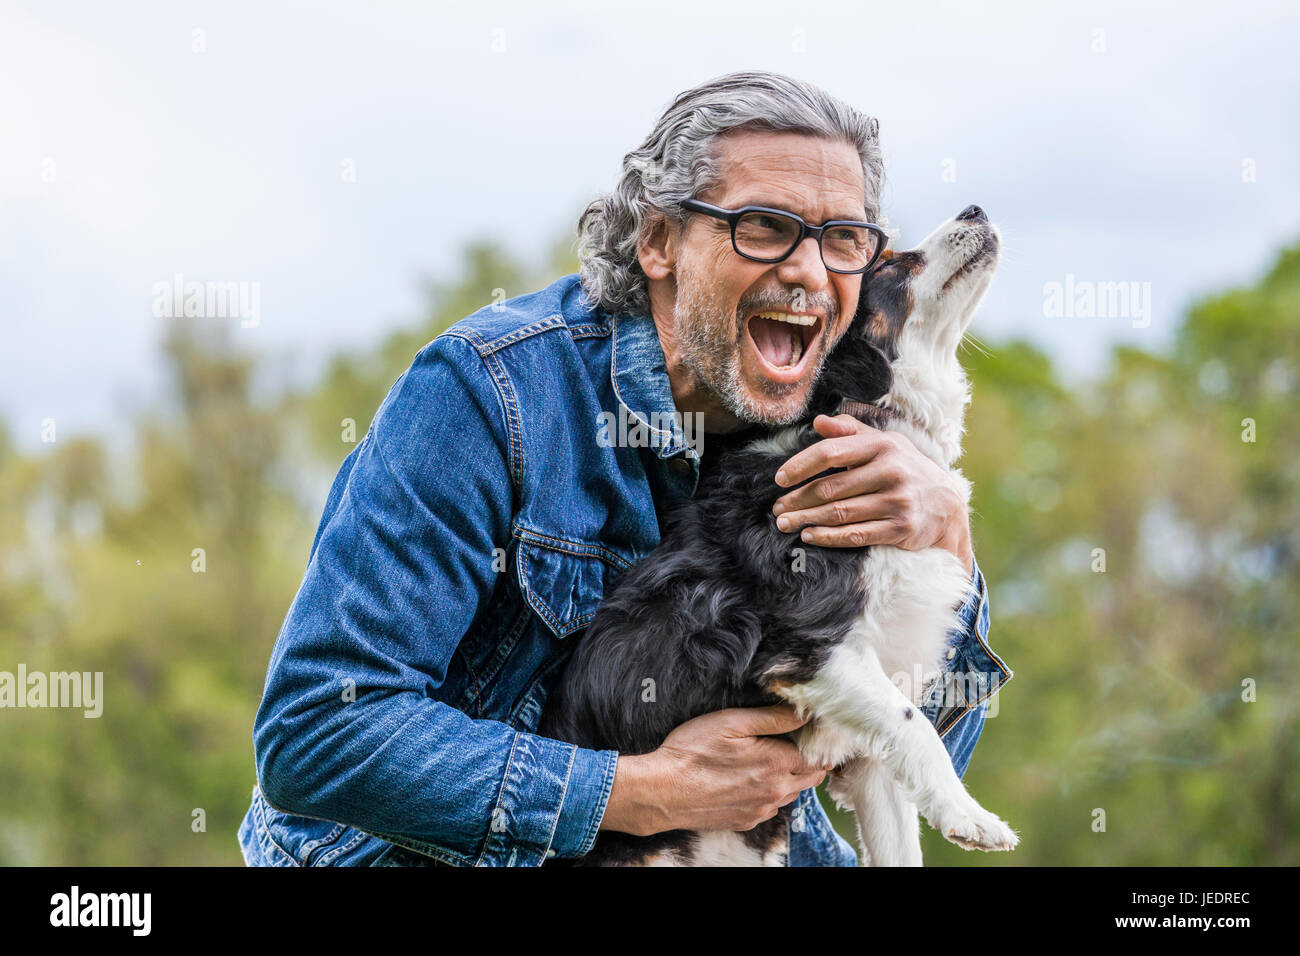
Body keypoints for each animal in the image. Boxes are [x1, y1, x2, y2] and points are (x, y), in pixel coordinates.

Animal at [538, 205, 1013, 863]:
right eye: (892, 265)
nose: (975, 209)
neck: (874, 421)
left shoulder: (867, 750)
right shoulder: (808, 649)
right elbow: (917, 729)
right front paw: (970, 816)